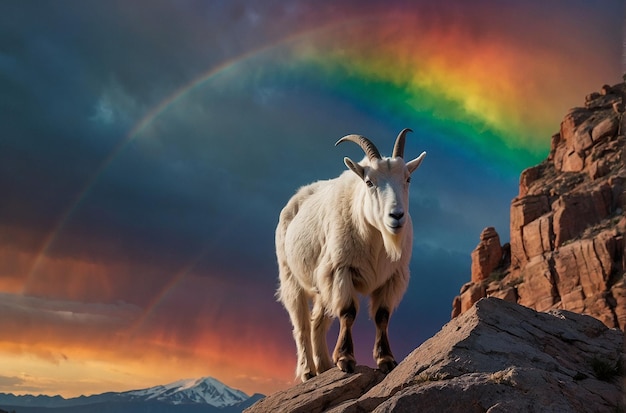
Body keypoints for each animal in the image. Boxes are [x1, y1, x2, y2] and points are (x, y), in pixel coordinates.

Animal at [276, 129, 426, 380]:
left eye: (408, 179)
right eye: (369, 182)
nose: (396, 216)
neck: (376, 239)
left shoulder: (392, 277)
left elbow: (382, 316)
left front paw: (386, 359)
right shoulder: (340, 270)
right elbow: (348, 312)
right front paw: (345, 359)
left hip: (321, 285)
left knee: (318, 321)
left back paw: (324, 365)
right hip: (290, 276)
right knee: (301, 323)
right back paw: (308, 371)